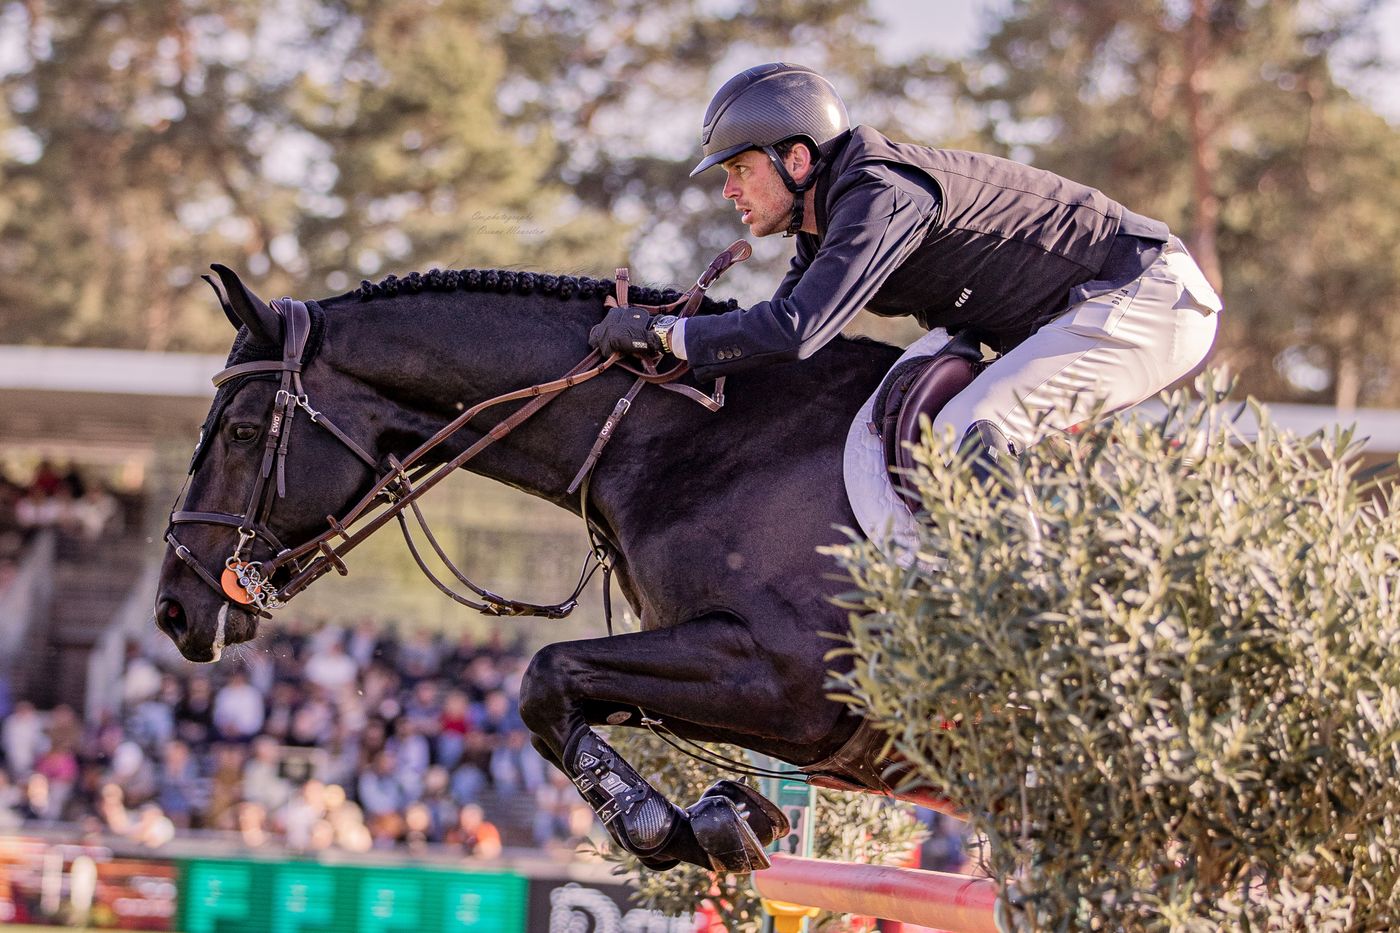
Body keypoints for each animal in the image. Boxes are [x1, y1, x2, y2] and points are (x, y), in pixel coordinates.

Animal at [154, 260, 947, 873]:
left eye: (242, 431)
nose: (172, 610)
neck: (699, 435)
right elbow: (560, 701)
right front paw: (724, 816)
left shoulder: (790, 680)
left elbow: (544, 676)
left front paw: (661, 824)